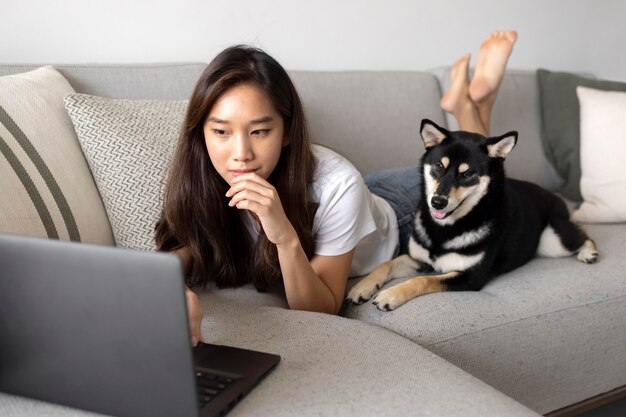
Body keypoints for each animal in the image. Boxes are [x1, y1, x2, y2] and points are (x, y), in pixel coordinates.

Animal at [344, 118, 596, 310]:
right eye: (439, 166)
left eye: (467, 174)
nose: (437, 202)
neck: (446, 229)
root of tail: (553, 196)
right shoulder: (418, 259)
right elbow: (384, 265)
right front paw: (362, 287)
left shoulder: (470, 276)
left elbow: (422, 280)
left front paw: (390, 295)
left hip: (552, 241)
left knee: (582, 235)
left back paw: (589, 253)